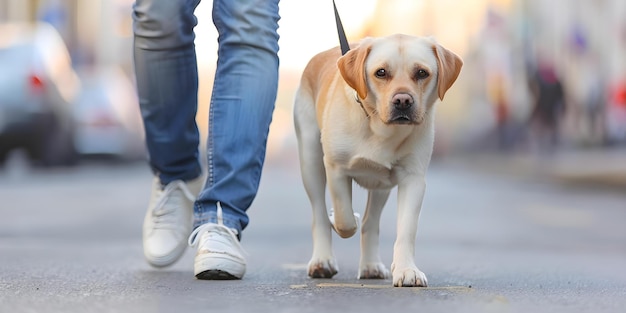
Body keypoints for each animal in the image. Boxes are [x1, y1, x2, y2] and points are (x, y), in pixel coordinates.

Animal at [292, 33, 458, 286]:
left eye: (422, 73)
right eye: (381, 72)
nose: (403, 101)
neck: (380, 128)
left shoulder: (413, 179)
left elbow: (406, 230)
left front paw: (406, 270)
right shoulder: (336, 168)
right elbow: (344, 220)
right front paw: (339, 219)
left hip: (382, 186)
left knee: (370, 222)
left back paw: (370, 265)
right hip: (310, 162)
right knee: (319, 214)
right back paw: (322, 260)